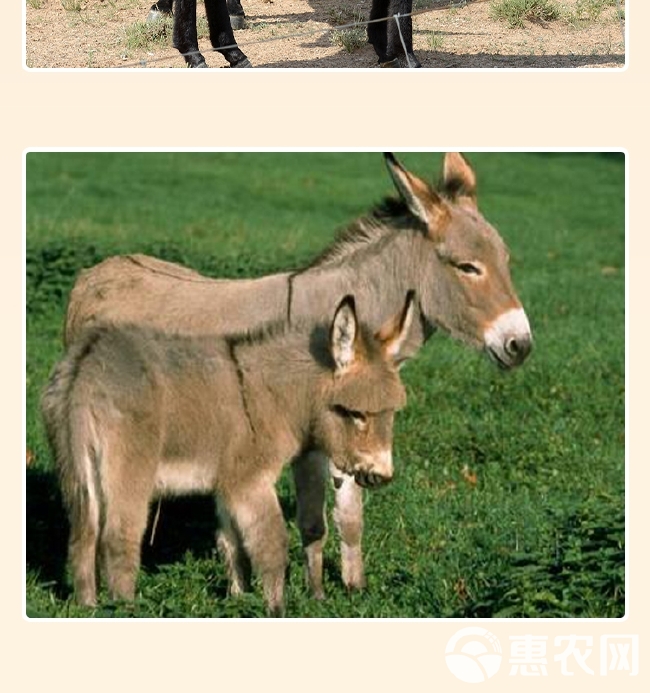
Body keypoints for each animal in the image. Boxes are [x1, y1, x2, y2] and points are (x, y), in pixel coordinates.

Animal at [41, 292, 416, 612]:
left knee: (82, 540)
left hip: (76, 472)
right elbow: (271, 546)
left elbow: (232, 545)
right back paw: (126, 610)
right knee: (119, 541)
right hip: (129, 472)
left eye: (391, 413)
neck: (275, 398)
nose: (381, 476)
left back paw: (88, 608)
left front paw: (240, 600)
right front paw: (277, 611)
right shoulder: (249, 481)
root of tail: (87, 367)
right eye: (354, 413)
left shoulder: (226, 485)